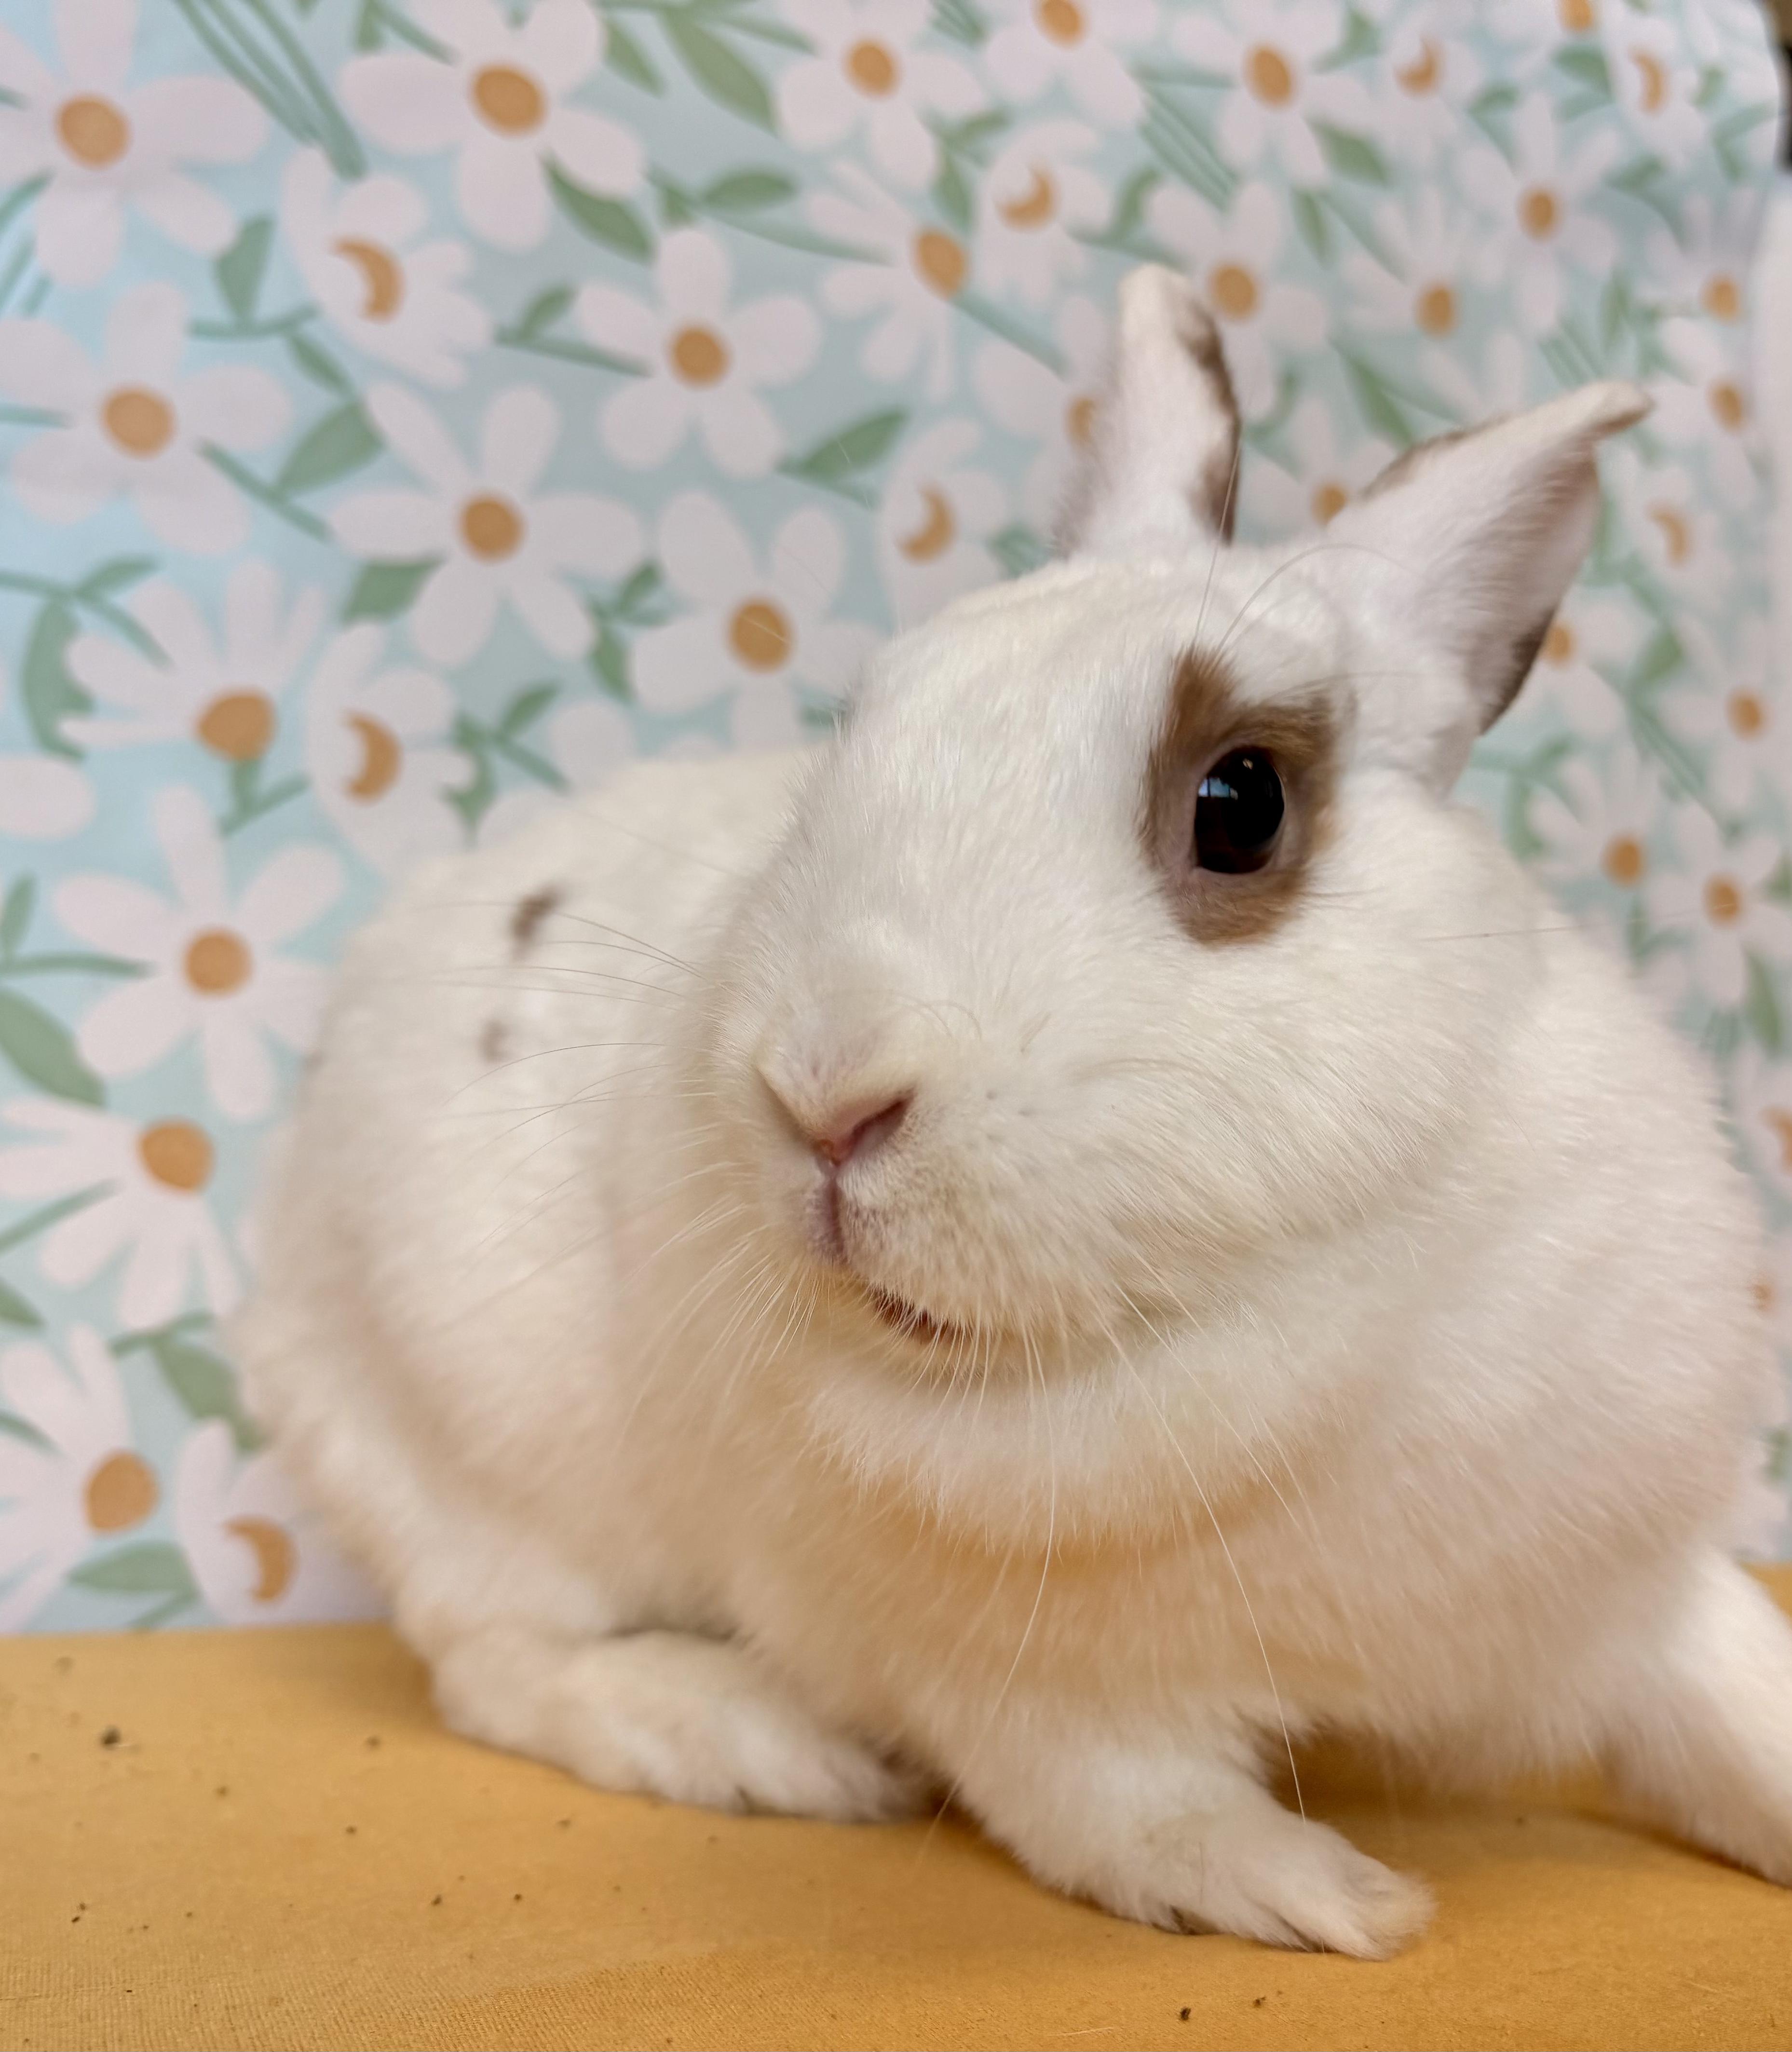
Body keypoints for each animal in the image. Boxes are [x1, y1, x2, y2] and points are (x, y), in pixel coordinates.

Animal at [232, 265, 1792, 1958]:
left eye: (1239, 802)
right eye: (852, 735)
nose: (823, 1089)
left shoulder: (1636, 1575)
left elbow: (1737, 1697)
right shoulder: (1030, 1697)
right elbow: (1134, 1813)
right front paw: (1328, 1895)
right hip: (476, 1451)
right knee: (496, 1657)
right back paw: (756, 1739)